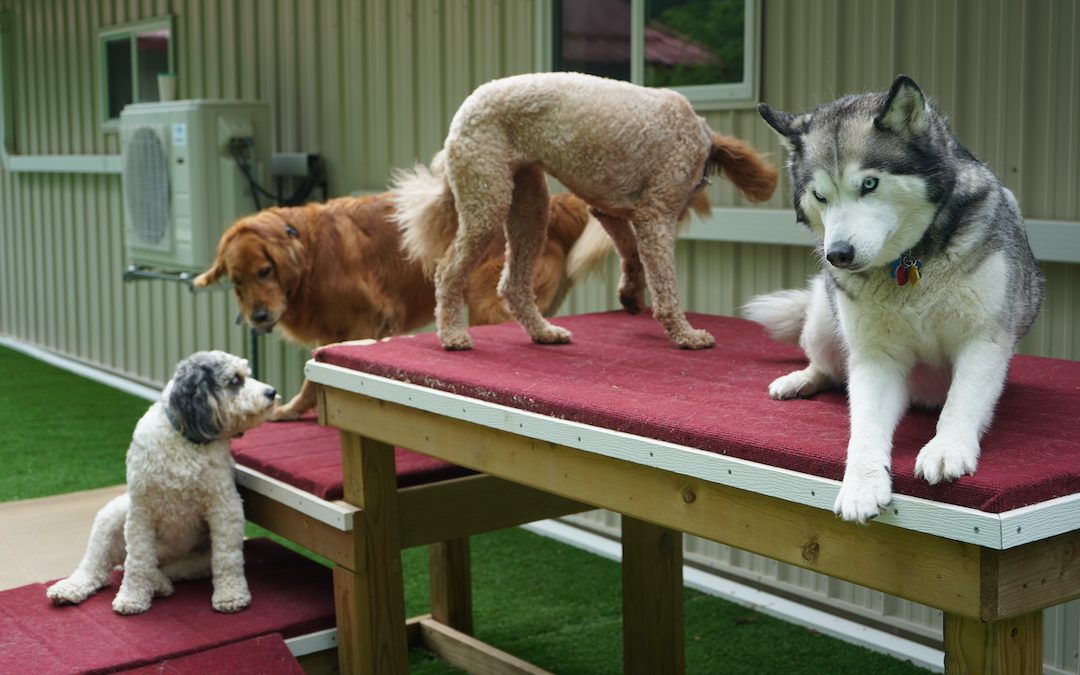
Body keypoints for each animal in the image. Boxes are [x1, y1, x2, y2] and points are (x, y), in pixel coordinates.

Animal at [46, 352, 276, 617]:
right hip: (112, 516)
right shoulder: (141, 512)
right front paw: (132, 598)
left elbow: (227, 558)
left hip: (196, 561)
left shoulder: (225, 507)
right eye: (235, 380)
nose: (272, 392)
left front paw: (231, 596)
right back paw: (67, 589)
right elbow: (137, 561)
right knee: (97, 567)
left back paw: (158, 583)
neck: (186, 441)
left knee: (162, 569)